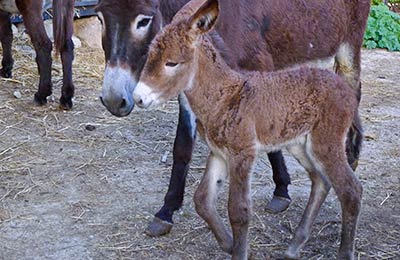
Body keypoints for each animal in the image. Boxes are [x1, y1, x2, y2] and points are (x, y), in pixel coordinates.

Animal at [134, 0, 362, 258]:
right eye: (149, 57)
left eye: (171, 63)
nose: (138, 98)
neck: (224, 94)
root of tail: (345, 90)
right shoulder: (219, 153)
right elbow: (202, 200)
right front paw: (228, 243)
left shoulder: (242, 153)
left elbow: (239, 211)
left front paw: (239, 251)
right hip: (299, 144)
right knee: (321, 181)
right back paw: (294, 246)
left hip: (326, 144)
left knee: (351, 190)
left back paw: (344, 252)